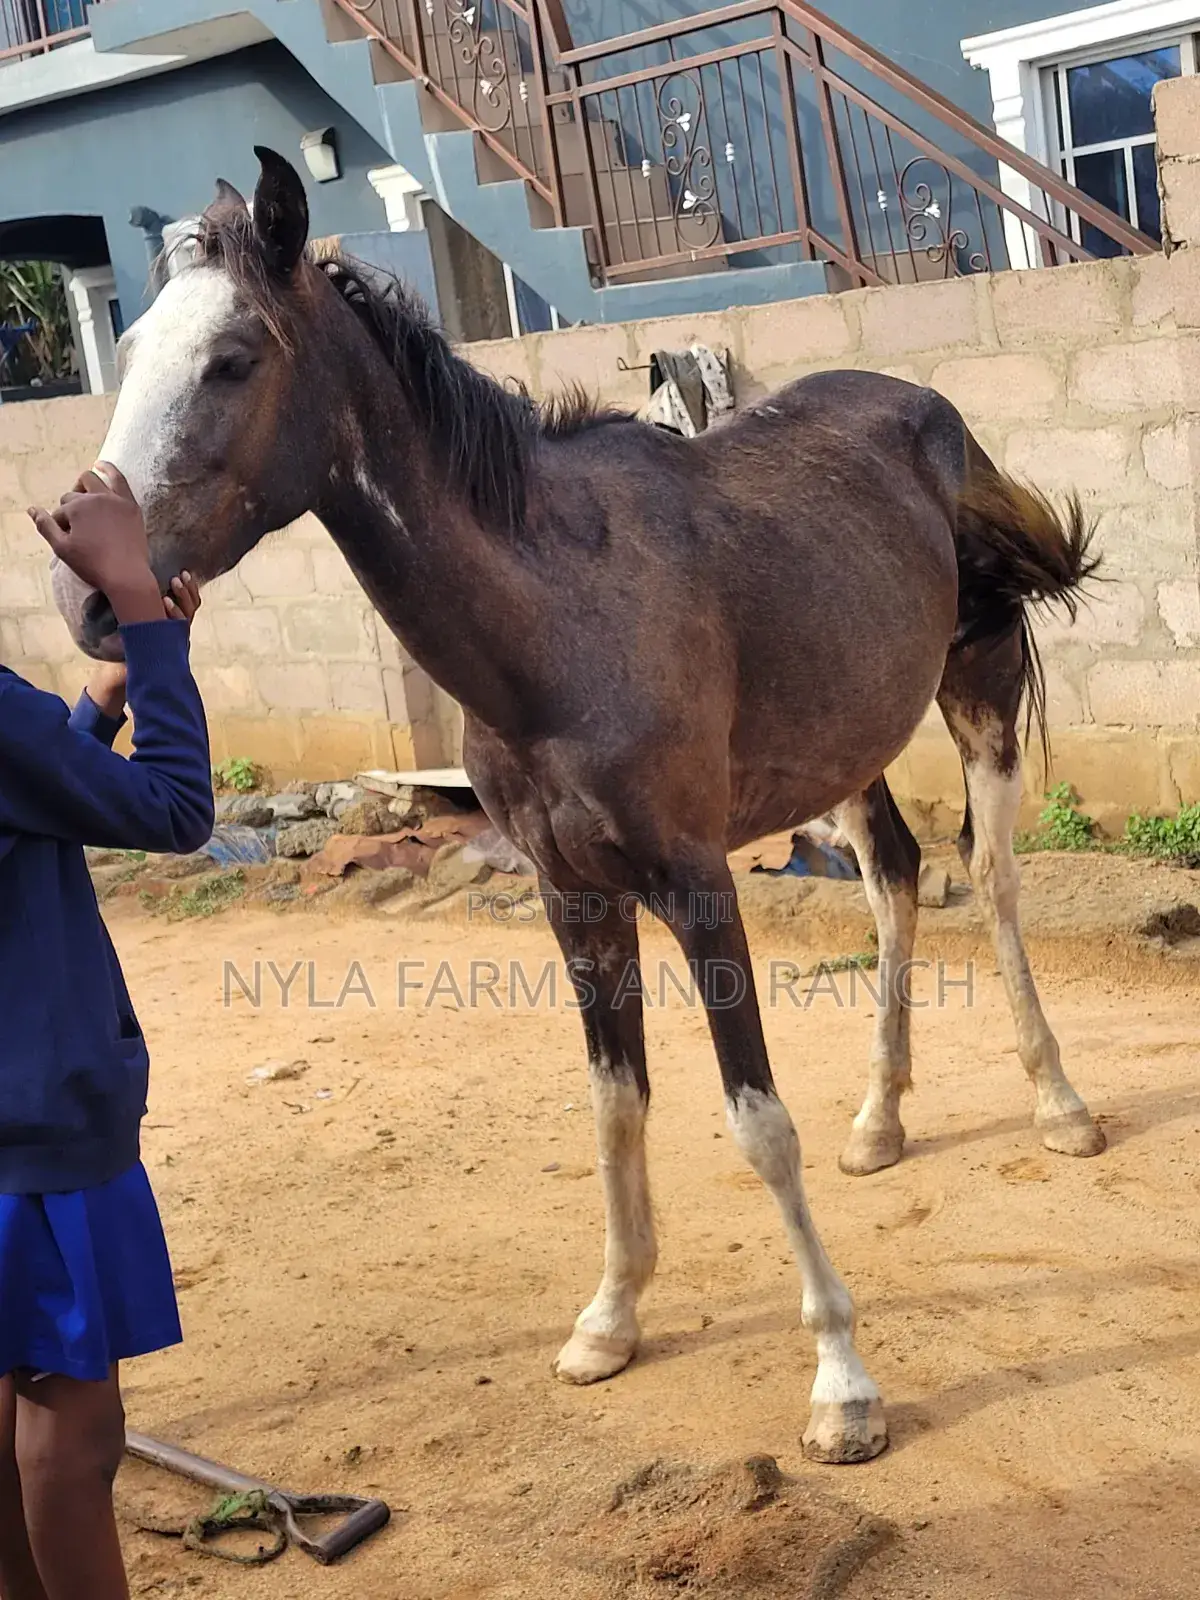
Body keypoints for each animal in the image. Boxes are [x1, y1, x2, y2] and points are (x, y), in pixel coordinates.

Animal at [53, 148, 1106, 1465]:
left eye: (232, 358)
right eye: (133, 345)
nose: (88, 597)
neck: (556, 619)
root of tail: (923, 409)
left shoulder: (698, 885)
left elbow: (756, 1120)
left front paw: (842, 1380)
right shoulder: (574, 896)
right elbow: (615, 1105)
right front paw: (611, 1318)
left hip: (979, 696)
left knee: (995, 879)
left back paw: (1059, 1103)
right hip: (851, 744)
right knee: (897, 878)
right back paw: (880, 1119)